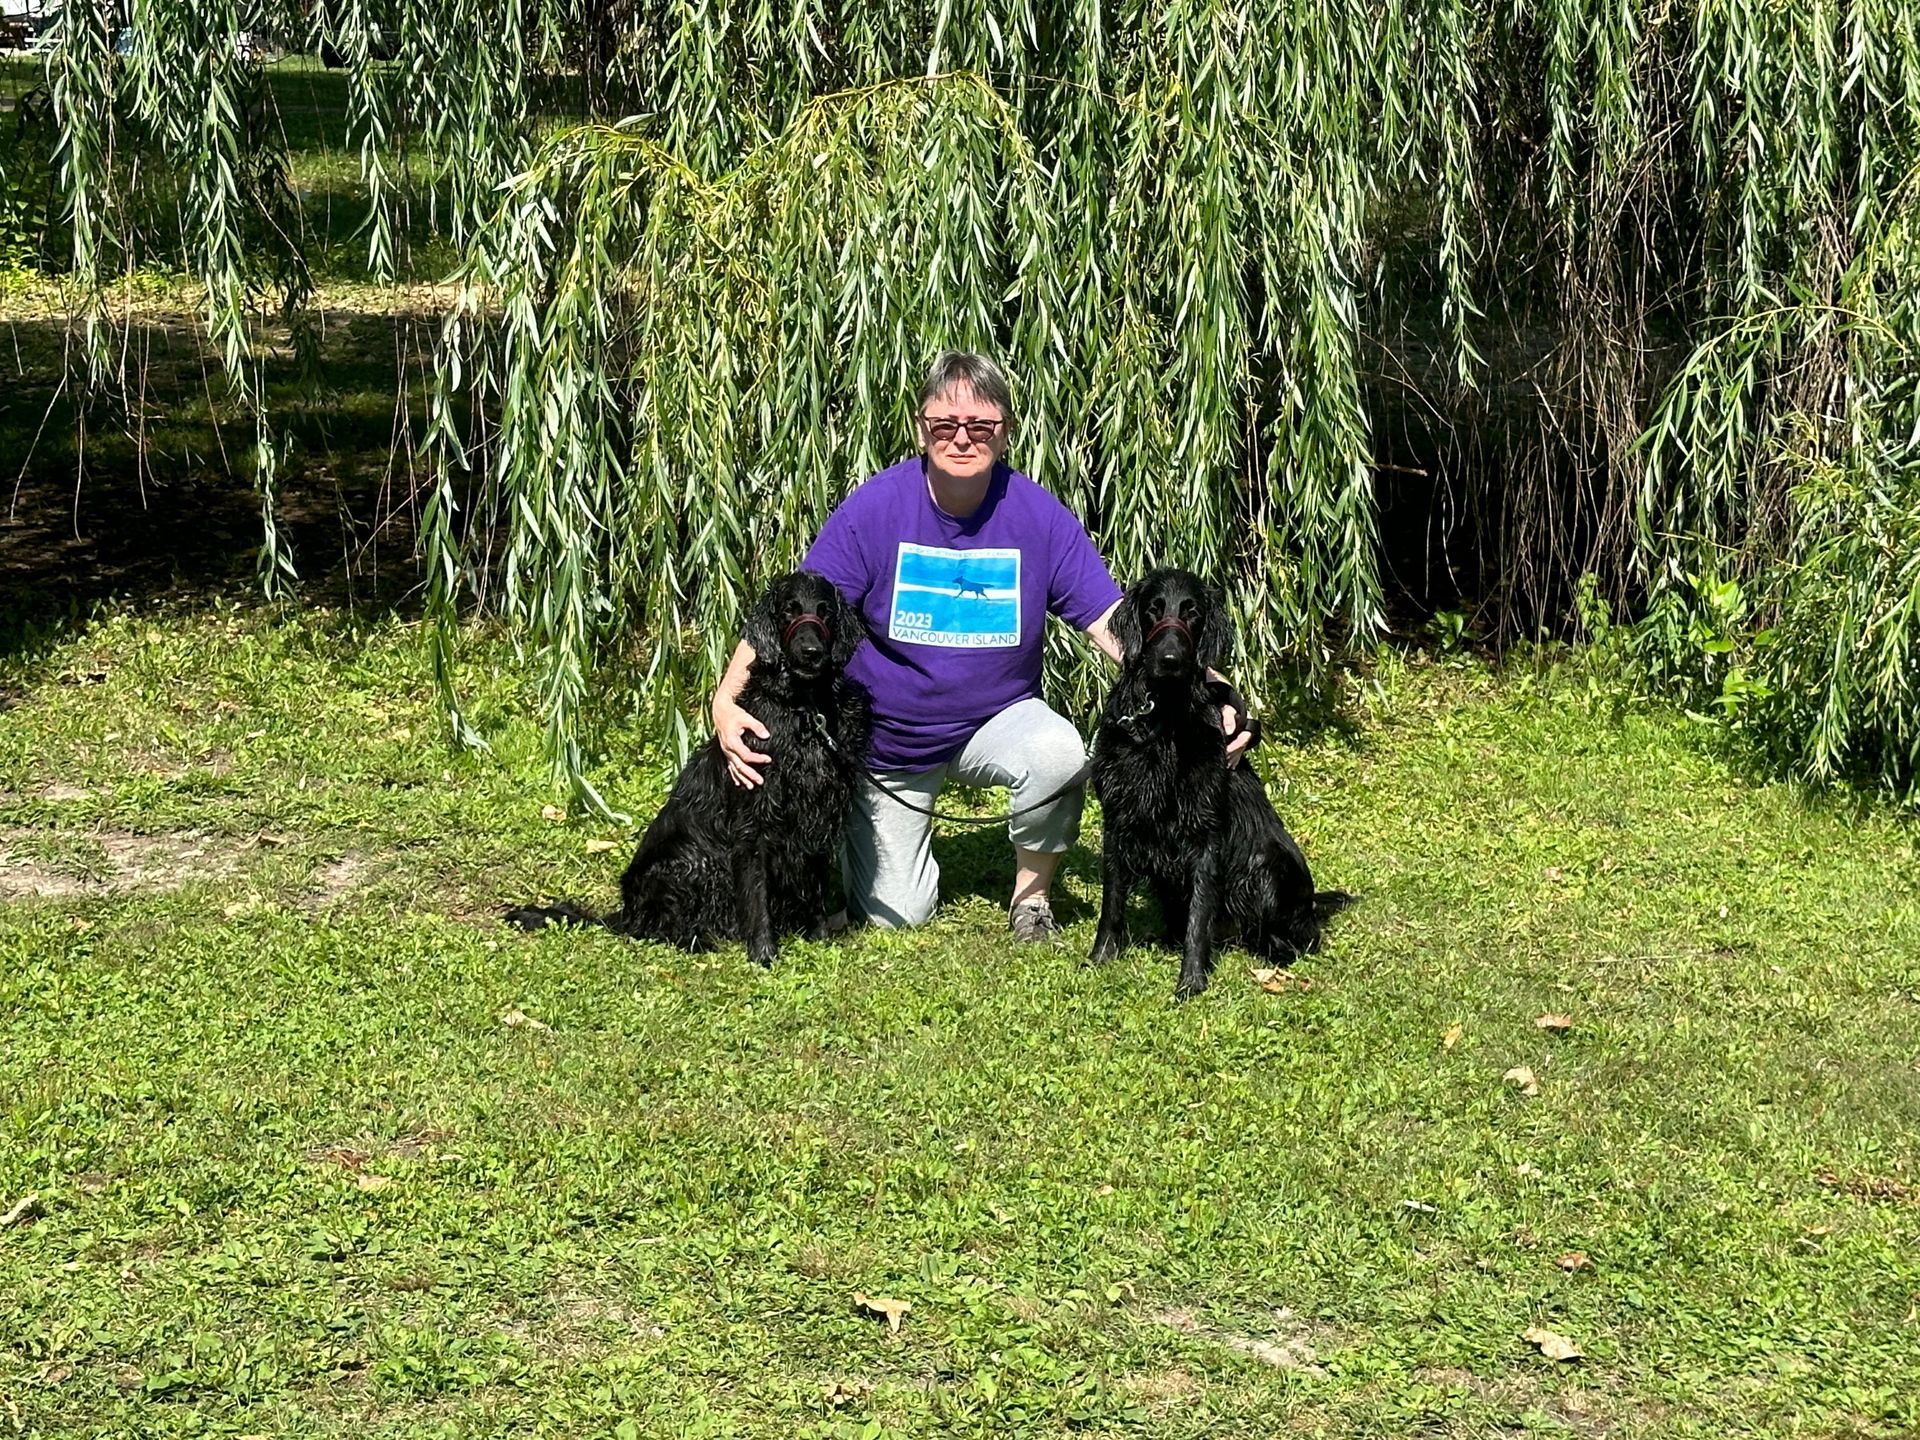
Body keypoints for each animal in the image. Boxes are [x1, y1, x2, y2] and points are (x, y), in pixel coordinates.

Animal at [506, 572, 875, 971]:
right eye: (788, 610)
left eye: (825, 612)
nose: (811, 652)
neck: (804, 711)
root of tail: (625, 911)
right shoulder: (753, 822)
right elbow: (756, 894)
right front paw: (763, 954)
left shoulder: (821, 815)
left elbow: (815, 883)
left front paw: (819, 938)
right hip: (694, 861)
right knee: (656, 928)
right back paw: (697, 941)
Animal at [1090, 568, 1359, 998]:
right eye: (1153, 609)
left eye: (1192, 612)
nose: (1170, 660)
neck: (1164, 718)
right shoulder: (1117, 820)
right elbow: (1112, 901)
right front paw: (1101, 958)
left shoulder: (1205, 834)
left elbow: (1200, 915)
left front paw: (1191, 981)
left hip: (1266, 870)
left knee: (1300, 939)